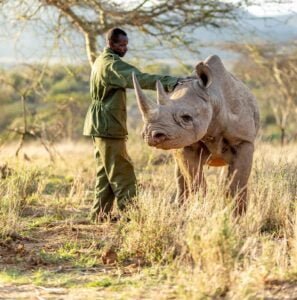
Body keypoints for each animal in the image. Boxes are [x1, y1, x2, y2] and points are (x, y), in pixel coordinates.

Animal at [132, 55, 260, 216]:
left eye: (186, 117)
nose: (150, 135)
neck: (212, 97)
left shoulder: (243, 140)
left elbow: (236, 183)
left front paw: (236, 217)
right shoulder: (185, 144)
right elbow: (195, 181)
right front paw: (200, 209)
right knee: (181, 174)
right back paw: (179, 209)